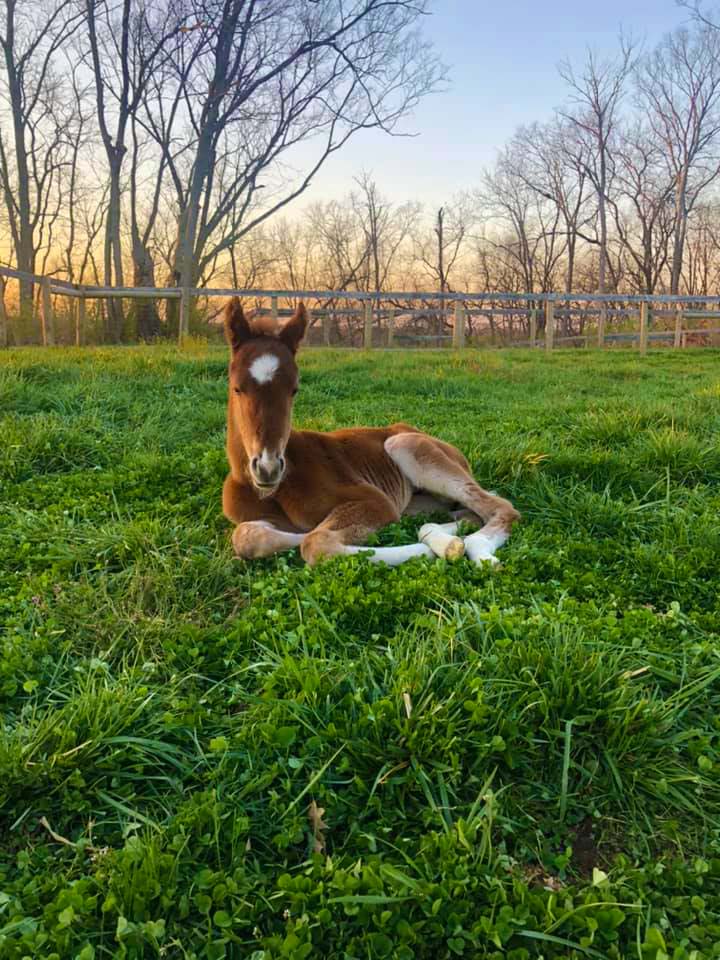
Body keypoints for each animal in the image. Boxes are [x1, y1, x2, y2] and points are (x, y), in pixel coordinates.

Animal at [222, 300, 520, 568]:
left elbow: (316, 541)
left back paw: (473, 550)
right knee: (468, 514)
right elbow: (246, 536)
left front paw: (422, 552)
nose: (268, 467)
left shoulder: (377, 501)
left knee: (502, 507)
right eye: (237, 387)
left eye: (294, 389)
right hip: (421, 501)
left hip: (405, 444)